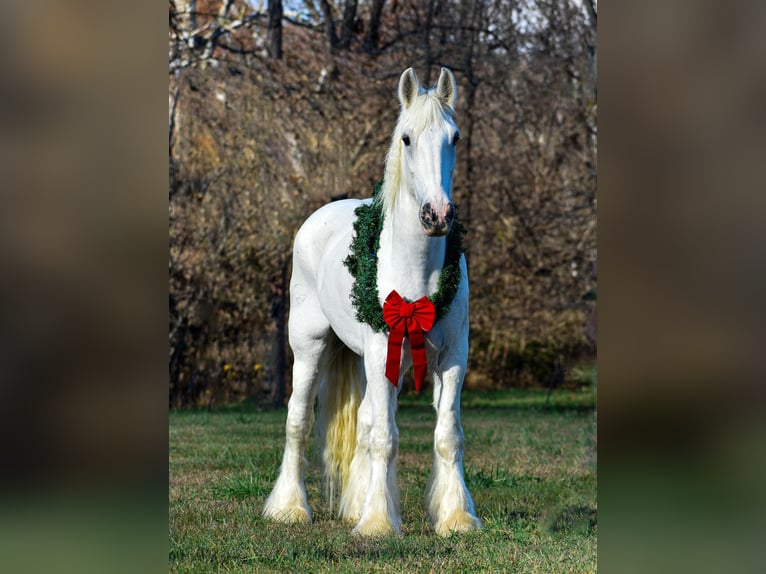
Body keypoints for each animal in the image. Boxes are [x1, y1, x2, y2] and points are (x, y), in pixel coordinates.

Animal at [264, 67, 480, 540]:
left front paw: (456, 517)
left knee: (362, 422)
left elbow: (447, 435)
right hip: (310, 347)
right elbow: (386, 437)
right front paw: (379, 523)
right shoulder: (382, 353)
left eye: (454, 137)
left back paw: (353, 505)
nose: (437, 215)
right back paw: (289, 508)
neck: (416, 274)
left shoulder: (452, 357)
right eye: (406, 138)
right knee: (298, 420)